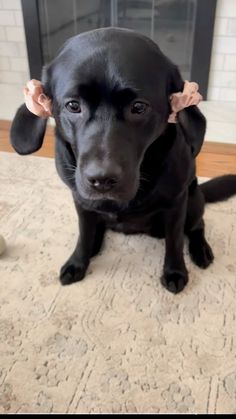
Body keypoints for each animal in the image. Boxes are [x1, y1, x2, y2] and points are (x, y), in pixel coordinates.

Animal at [10, 27, 236, 294]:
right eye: (73, 106)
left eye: (138, 107)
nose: (102, 179)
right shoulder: (80, 200)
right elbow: (83, 233)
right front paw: (78, 261)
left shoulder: (176, 203)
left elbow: (174, 241)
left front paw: (175, 271)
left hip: (193, 200)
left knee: (197, 226)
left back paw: (200, 249)